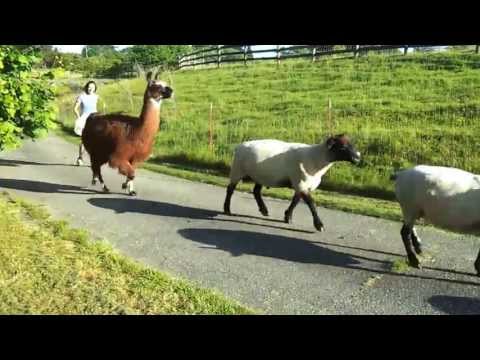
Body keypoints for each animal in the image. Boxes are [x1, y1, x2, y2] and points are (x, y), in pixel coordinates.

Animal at [223, 134, 362, 231]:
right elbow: (311, 204)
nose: (357, 158)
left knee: (256, 191)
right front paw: (319, 225)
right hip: (237, 170)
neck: (317, 158)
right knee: (230, 189)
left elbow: (295, 201)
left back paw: (264, 210)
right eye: (342, 146)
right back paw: (227, 210)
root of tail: (240, 145)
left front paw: (287, 217)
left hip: (261, 175)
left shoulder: (301, 184)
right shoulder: (301, 184)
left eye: (352, 144)